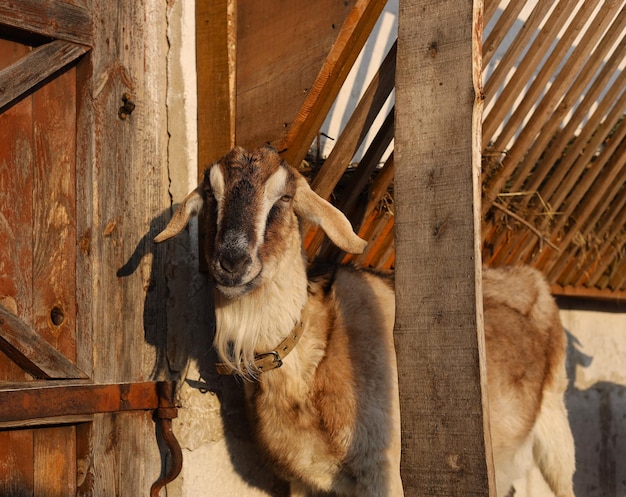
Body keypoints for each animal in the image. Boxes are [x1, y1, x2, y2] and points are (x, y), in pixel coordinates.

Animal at [154, 145, 572, 494]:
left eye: (285, 197)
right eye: (211, 195)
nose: (232, 262)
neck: (310, 360)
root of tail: (530, 277)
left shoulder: (382, 469)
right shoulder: (306, 481)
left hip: (555, 429)